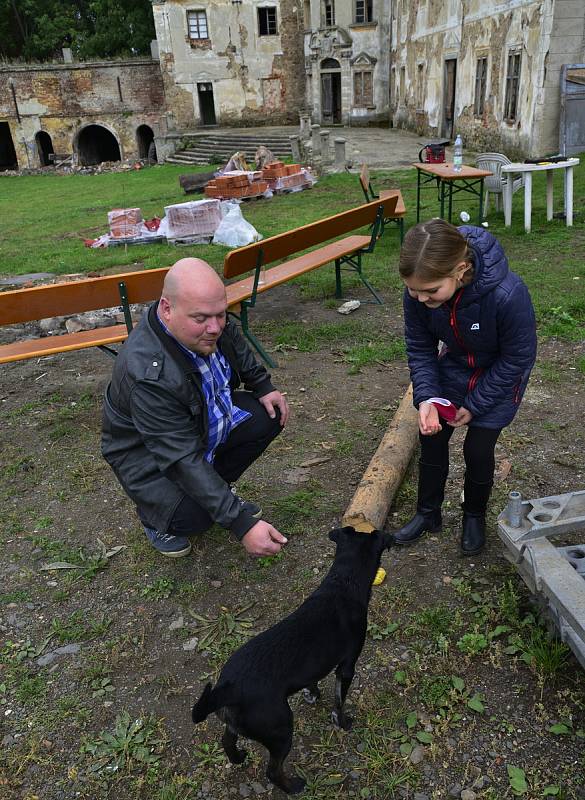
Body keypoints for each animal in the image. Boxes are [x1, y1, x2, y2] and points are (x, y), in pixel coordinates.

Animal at [192, 524, 392, 792]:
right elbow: (339, 701)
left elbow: (313, 681)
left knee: (227, 742)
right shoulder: (347, 666)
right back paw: (294, 786)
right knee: (273, 771)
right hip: (281, 730)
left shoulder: (314, 668)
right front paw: (342, 722)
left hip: (235, 723)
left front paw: (312, 695)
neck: (342, 583)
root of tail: (228, 689)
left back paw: (239, 758)